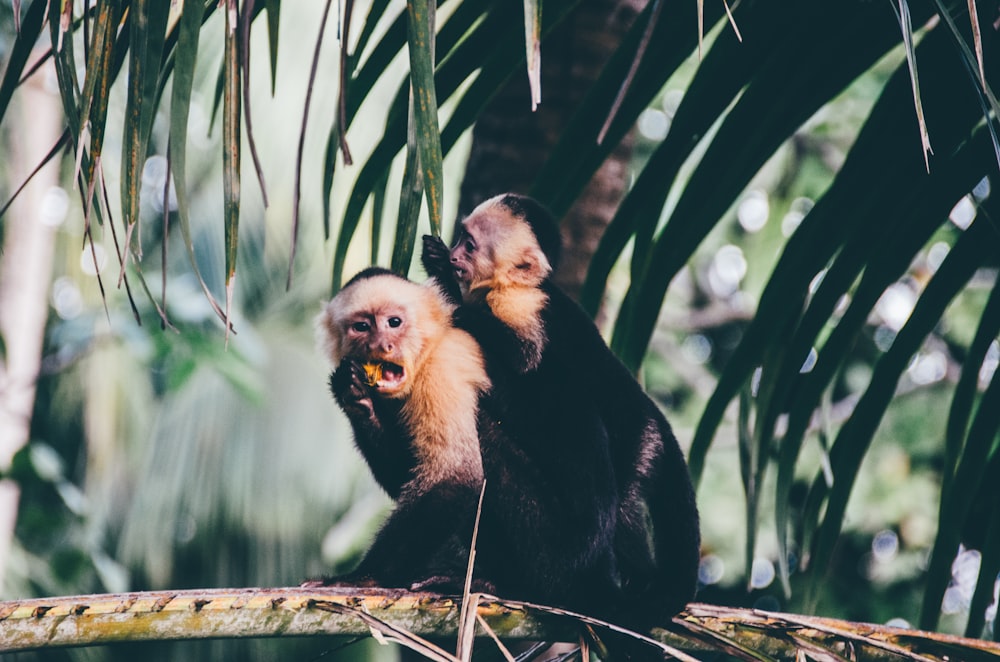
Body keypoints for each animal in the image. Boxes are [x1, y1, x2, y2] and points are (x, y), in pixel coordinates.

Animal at [316, 268, 620, 616]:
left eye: (394, 322)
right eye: (362, 327)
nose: (382, 344)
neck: (429, 346)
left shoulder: (442, 368)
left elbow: (455, 476)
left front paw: (363, 577)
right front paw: (355, 397)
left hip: (556, 549)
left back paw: (511, 586)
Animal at [422, 193, 704, 628]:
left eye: (469, 245)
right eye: (460, 238)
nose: (453, 256)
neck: (512, 284)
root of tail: (654, 416)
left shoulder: (521, 305)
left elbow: (521, 358)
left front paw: (450, 294)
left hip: (638, 442)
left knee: (621, 506)